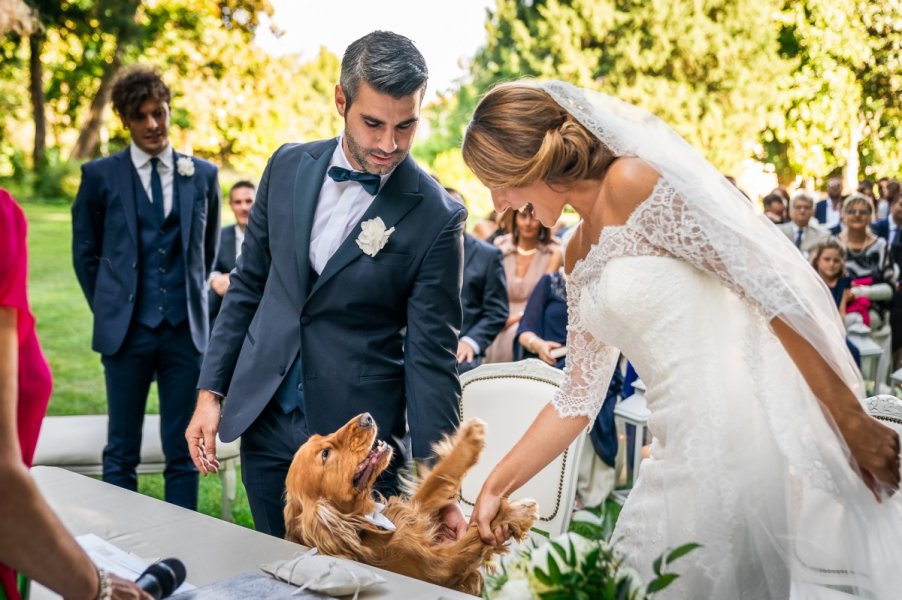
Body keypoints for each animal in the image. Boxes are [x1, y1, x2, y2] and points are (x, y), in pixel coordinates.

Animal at [284, 412, 536, 596]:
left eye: (321, 437)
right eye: (325, 454)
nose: (367, 417)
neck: (363, 521)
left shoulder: (413, 511)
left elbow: (439, 477)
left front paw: (469, 439)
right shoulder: (439, 568)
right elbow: (476, 535)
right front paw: (514, 514)